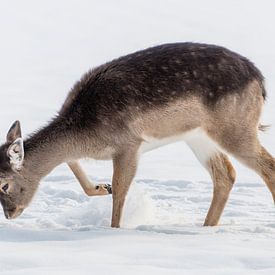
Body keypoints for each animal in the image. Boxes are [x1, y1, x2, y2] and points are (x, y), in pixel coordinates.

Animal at [0, 43, 275, 229]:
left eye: (4, 184)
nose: (9, 214)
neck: (84, 135)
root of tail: (260, 81)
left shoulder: (128, 144)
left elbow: (122, 189)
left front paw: (114, 228)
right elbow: (73, 163)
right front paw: (102, 187)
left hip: (234, 128)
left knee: (267, 167)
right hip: (199, 137)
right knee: (226, 174)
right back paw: (206, 226)